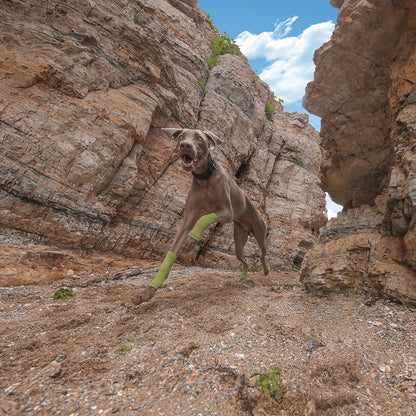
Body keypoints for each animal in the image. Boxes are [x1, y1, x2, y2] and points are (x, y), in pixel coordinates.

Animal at [132, 127, 272, 306]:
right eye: (181, 136)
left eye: (199, 138)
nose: (185, 145)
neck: (204, 177)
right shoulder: (188, 219)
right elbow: (171, 254)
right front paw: (148, 291)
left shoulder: (227, 212)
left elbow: (204, 219)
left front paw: (192, 239)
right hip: (239, 241)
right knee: (245, 259)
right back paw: (243, 276)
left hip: (260, 232)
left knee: (263, 253)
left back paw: (266, 270)